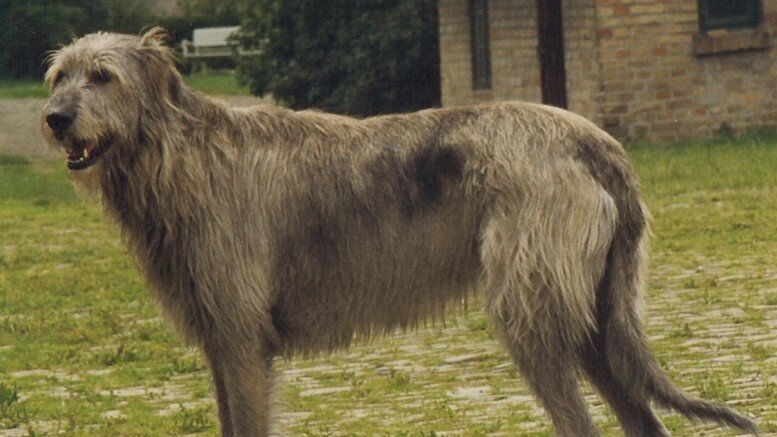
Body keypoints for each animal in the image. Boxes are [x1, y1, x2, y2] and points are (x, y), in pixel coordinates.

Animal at [41, 29, 756, 434]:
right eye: (58, 76)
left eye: (102, 76)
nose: (54, 118)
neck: (179, 157)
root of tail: (597, 141)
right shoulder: (222, 343)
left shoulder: (243, 342)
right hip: (595, 320)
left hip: (534, 312)